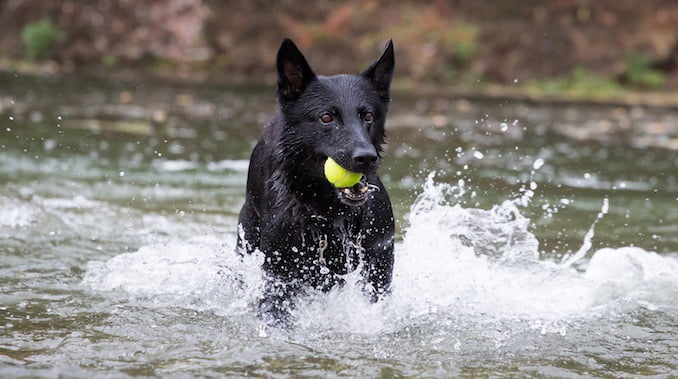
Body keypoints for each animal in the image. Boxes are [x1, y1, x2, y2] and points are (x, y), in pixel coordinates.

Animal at [239, 38, 398, 326]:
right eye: (326, 118)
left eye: (368, 116)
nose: (366, 158)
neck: (328, 214)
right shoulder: (279, 273)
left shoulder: (378, 262)